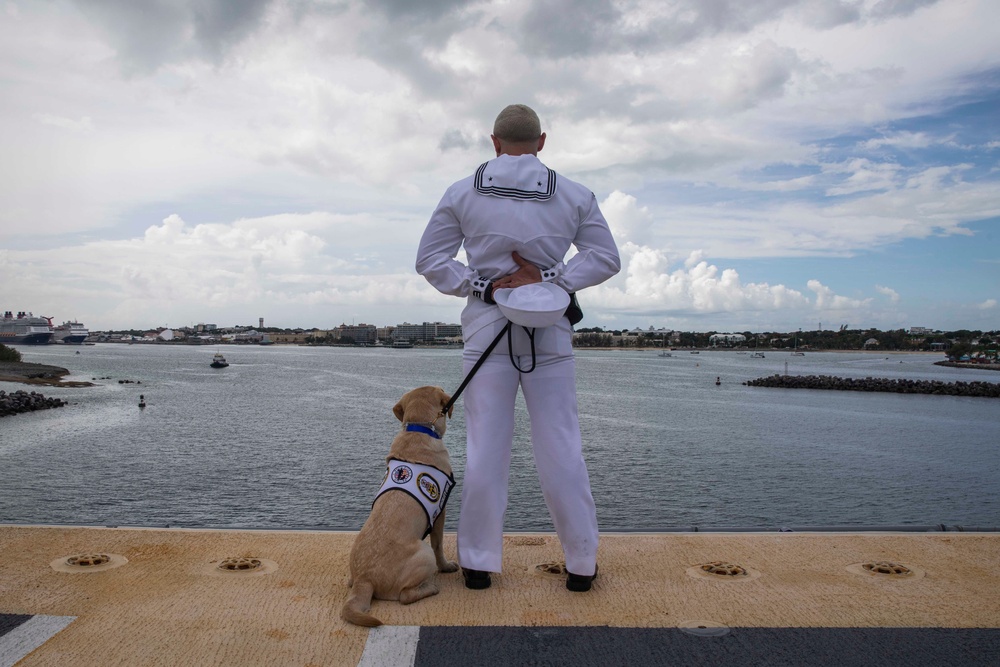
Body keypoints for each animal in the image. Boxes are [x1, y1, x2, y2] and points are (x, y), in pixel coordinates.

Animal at [340, 386, 458, 628]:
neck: (419, 429)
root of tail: (364, 580)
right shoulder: (440, 510)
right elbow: (439, 545)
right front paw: (446, 566)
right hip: (423, 554)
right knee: (405, 596)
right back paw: (431, 587)